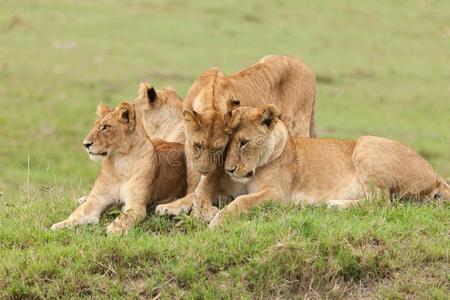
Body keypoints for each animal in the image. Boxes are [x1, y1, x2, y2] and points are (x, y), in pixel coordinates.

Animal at [51, 101, 186, 234]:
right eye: (94, 126)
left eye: (105, 127)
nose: (85, 144)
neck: (121, 162)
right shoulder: (96, 200)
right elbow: (77, 214)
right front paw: (59, 225)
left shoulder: (136, 205)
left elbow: (126, 216)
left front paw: (114, 229)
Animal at [156, 54, 318, 220]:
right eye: (198, 145)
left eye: (219, 148)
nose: (203, 171)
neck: (210, 100)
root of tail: (302, 63)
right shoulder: (189, 145)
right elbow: (193, 180)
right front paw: (179, 205)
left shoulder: (222, 157)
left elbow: (206, 182)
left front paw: (203, 209)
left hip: (298, 123)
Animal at [206, 104, 448, 226]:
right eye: (227, 143)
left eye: (244, 142)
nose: (229, 169)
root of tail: (436, 175)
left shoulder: (278, 194)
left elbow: (243, 201)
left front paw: (217, 221)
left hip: (366, 143)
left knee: (379, 203)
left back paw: (332, 204)